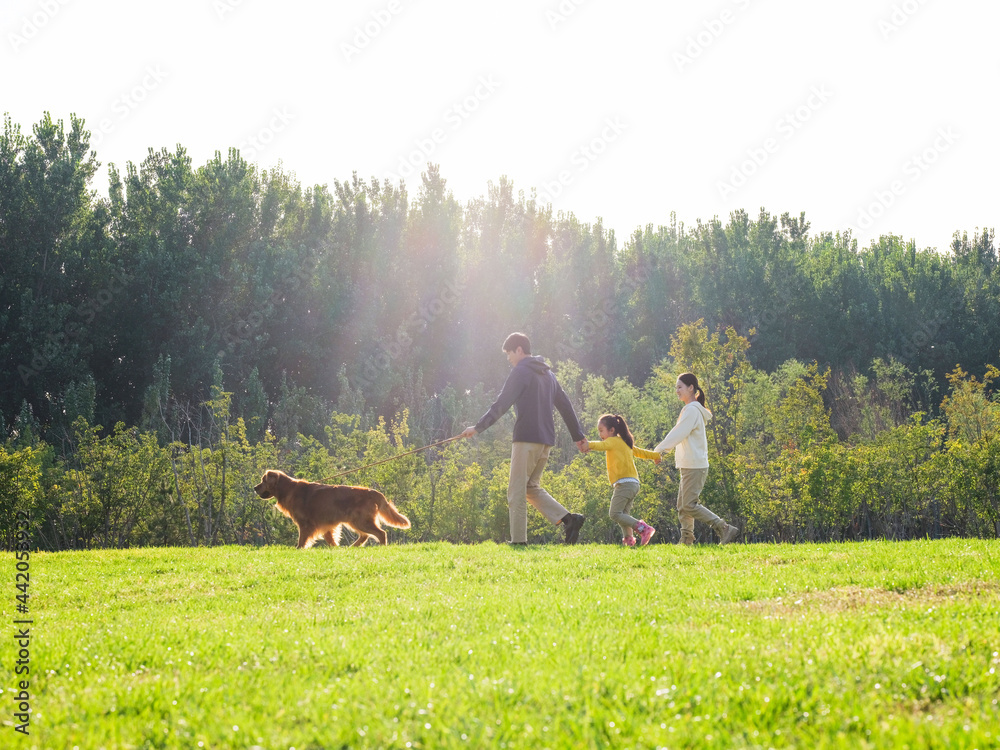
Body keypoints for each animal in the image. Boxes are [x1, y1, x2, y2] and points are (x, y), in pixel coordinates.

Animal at [254, 472, 410, 548]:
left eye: (263, 481)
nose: (254, 488)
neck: (288, 489)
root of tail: (373, 492)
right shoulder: (327, 525)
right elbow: (331, 540)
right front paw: (336, 549)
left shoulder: (305, 524)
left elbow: (301, 539)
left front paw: (298, 548)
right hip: (355, 521)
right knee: (365, 536)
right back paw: (351, 547)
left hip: (360, 521)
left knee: (381, 533)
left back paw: (382, 547)